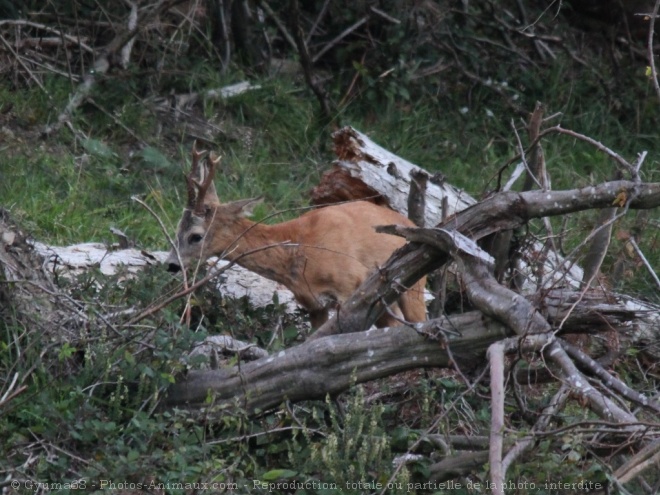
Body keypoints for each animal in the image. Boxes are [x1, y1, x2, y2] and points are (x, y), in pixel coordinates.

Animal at [166, 143, 428, 330]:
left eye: (195, 236)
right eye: (177, 227)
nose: (171, 264)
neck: (299, 248)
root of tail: (412, 223)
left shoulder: (351, 285)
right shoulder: (312, 304)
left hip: (413, 285)